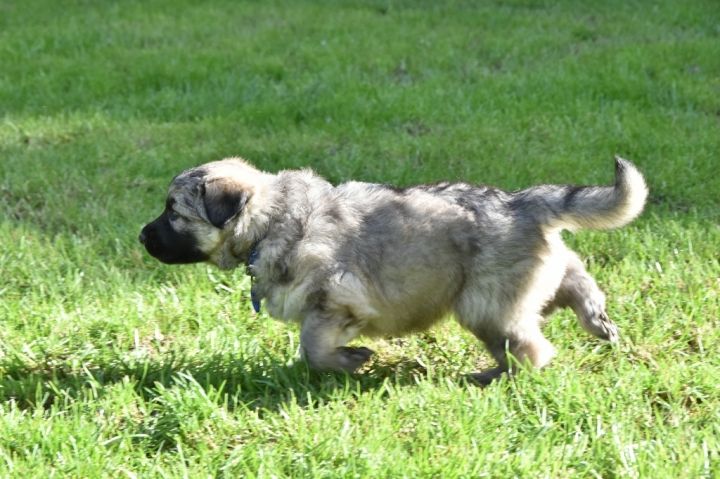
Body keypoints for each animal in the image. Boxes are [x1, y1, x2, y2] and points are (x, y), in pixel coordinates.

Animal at [139, 156, 647, 384]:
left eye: (173, 212)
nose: (142, 236)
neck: (269, 220)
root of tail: (523, 202)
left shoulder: (333, 300)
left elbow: (312, 348)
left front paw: (351, 360)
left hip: (486, 305)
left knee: (529, 349)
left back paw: (497, 378)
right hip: (527, 282)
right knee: (573, 279)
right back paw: (597, 319)